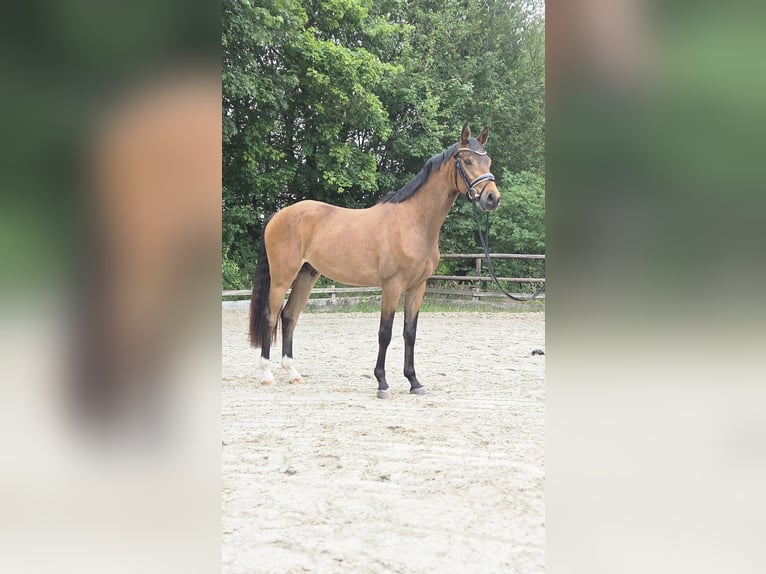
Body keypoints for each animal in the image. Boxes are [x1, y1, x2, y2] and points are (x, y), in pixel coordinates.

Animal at [249, 123, 500, 398]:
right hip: (282, 278)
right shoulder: (392, 286)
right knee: (271, 316)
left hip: (306, 275)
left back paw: (293, 373)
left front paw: (414, 381)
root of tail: (278, 215)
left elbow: (409, 333)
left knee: (289, 316)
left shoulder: (417, 287)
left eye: (488, 160)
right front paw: (382, 383)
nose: (492, 198)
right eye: (467, 161)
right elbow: (385, 333)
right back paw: (266, 374)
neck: (412, 222)